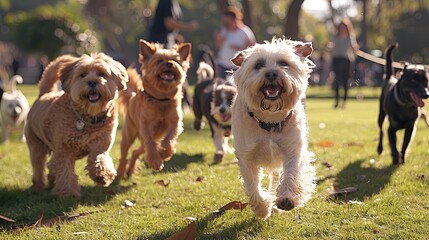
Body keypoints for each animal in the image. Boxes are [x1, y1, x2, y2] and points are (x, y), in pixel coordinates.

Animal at [25, 53, 127, 197]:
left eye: (102, 73)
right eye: (82, 75)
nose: (92, 82)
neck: (87, 118)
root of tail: (45, 94)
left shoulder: (100, 144)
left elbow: (99, 158)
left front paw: (103, 175)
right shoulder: (64, 151)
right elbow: (65, 171)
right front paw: (68, 192)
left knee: (50, 165)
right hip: (36, 146)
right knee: (38, 166)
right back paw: (38, 185)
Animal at [117, 39, 191, 178]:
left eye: (175, 60)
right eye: (159, 61)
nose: (169, 64)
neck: (161, 99)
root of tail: (133, 96)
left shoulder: (175, 124)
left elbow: (168, 139)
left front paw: (164, 153)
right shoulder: (146, 127)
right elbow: (151, 144)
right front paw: (156, 162)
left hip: (145, 141)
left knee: (136, 152)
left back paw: (130, 170)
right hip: (129, 135)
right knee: (125, 154)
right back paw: (121, 171)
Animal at [231, 37, 314, 219]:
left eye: (283, 63)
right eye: (258, 65)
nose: (271, 73)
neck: (270, 119)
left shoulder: (292, 150)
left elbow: (291, 173)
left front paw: (286, 198)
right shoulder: (246, 156)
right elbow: (252, 185)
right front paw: (262, 208)